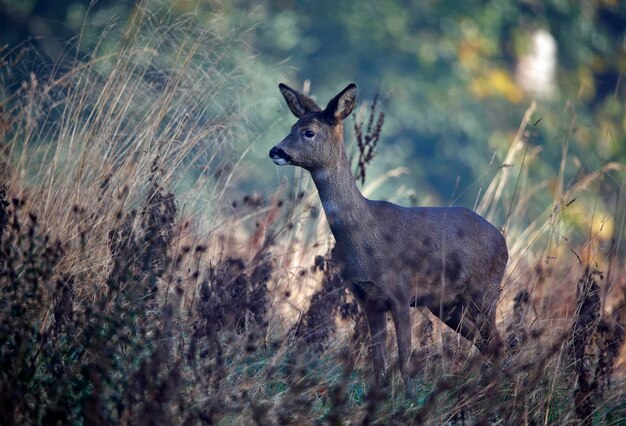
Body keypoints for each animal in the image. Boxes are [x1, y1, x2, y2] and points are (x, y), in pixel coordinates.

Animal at [268, 82, 508, 382]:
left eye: (309, 132)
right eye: (292, 126)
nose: (275, 151)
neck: (366, 235)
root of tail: (502, 239)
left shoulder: (401, 293)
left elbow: (405, 362)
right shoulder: (368, 298)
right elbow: (378, 363)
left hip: (485, 290)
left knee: (497, 343)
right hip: (446, 304)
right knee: (485, 342)